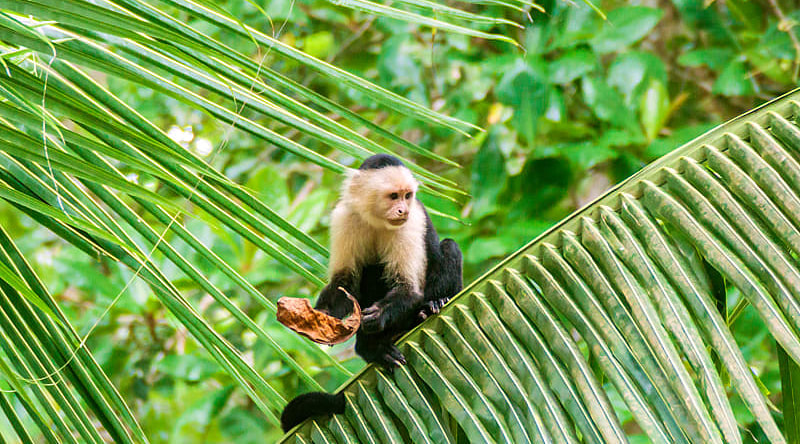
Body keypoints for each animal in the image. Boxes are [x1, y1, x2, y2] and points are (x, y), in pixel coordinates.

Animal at [280, 154, 463, 433]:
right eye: (393, 196)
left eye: (407, 196)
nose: (403, 209)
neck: (377, 219)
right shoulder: (344, 217)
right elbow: (345, 283)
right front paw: (317, 318)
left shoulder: (411, 223)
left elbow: (408, 288)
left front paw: (378, 315)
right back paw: (371, 347)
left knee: (449, 247)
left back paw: (429, 307)